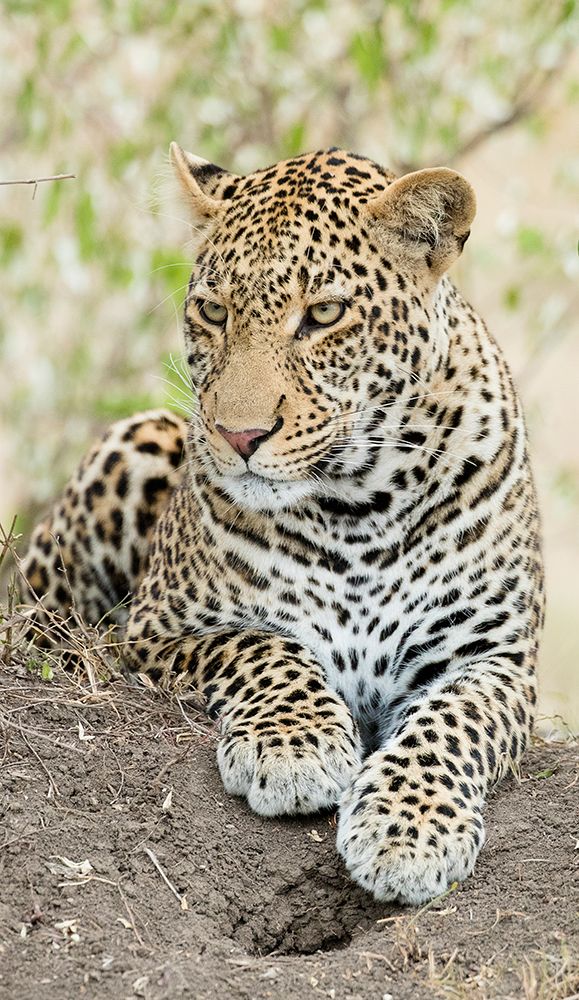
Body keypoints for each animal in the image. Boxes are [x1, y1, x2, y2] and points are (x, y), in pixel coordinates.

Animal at [21, 145, 544, 905]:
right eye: (213, 311)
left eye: (323, 314)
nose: (238, 435)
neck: (360, 507)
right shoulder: (158, 630)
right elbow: (264, 648)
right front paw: (295, 750)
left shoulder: (493, 660)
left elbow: (450, 724)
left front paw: (407, 831)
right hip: (133, 445)